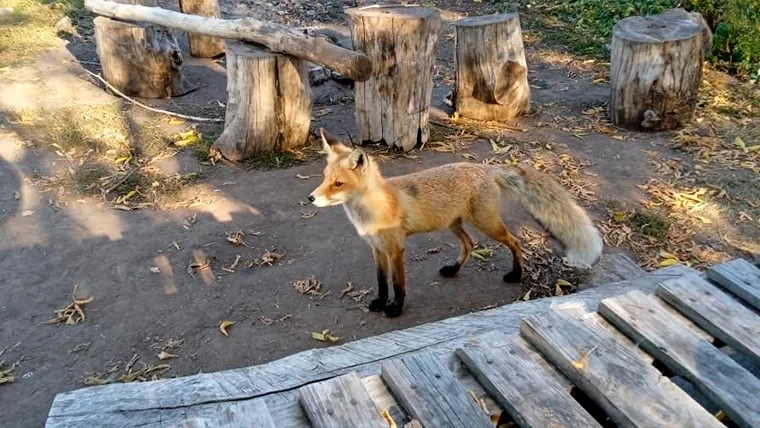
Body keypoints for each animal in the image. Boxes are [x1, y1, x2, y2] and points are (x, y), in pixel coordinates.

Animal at [308, 127, 600, 318]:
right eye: (324, 178)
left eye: (338, 183)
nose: (310, 198)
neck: (370, 212)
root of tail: (485, 167)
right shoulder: (377, 249)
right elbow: (381, 281)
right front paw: (380, 302)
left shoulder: (395, 249)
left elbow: (398, 284)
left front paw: (395, 308)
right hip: (454, 224)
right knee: (470, 244)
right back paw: (453, 269)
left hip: (486, 223)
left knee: (515, 241)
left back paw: (516, 275)